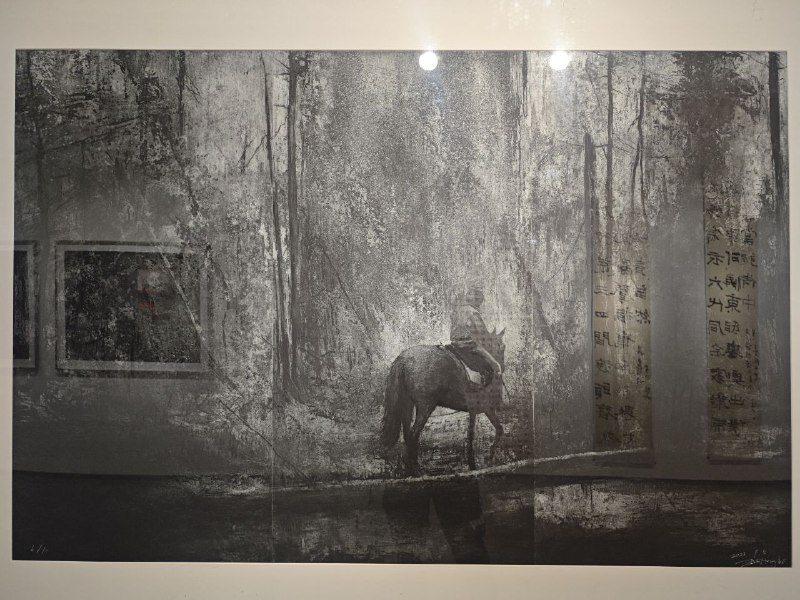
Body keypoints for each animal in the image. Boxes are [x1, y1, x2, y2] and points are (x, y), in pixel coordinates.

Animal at [379, 329, 505, 476]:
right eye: (501, 347)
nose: (501, 367)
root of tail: (404, 359)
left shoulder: (478, 410)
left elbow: (490, 431)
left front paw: (478, 461)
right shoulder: (484, 409)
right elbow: (478, 435)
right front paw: (484, 459)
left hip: (407, 405)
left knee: (407, 435)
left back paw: (409, 470)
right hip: (425, 406)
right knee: (413, 435)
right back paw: (417, 470)